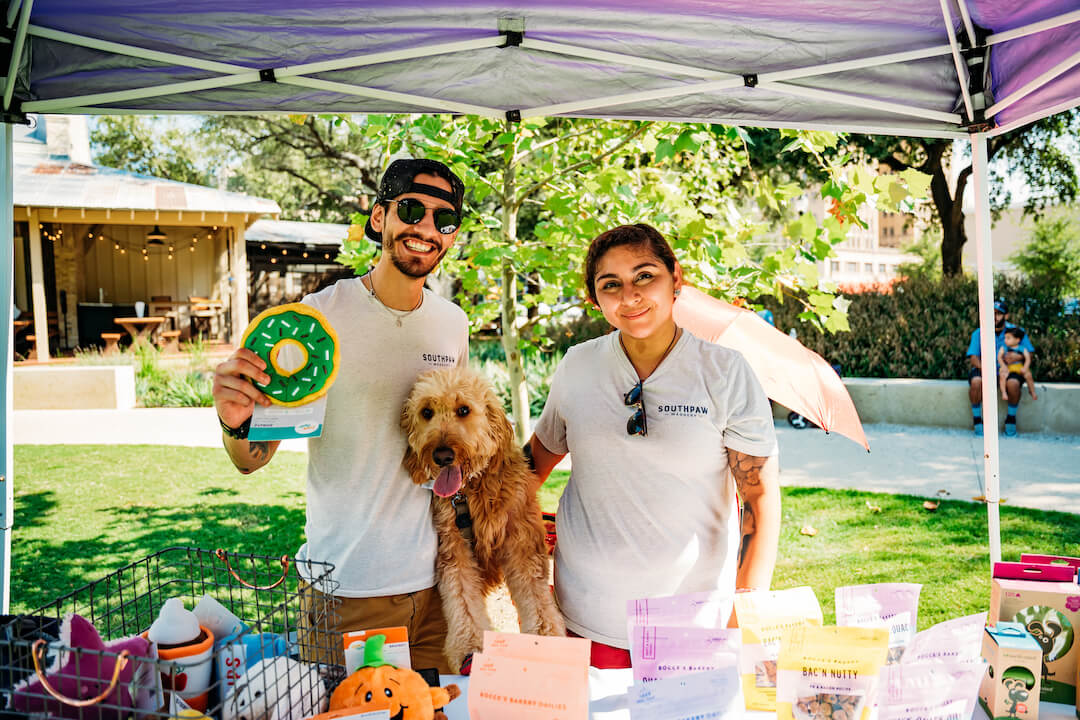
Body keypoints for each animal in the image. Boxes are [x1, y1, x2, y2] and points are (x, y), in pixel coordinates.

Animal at [403, 369, 565, 673]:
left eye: (463, 410)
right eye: (426, 412)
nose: (442, 455)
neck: (473, 490)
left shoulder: (522, 544)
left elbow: (537, 599)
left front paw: (545, 640)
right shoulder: (454, 550)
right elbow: (463, 600)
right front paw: (469, 647)